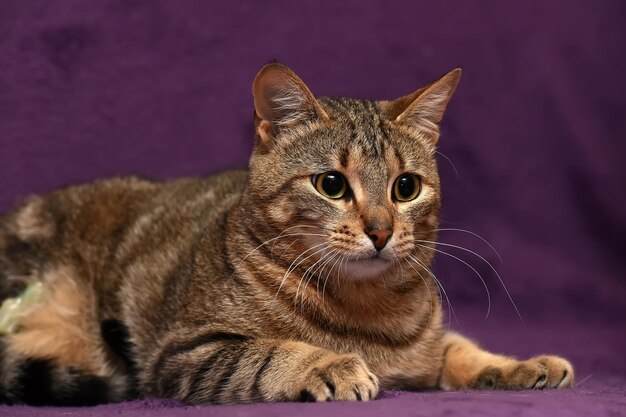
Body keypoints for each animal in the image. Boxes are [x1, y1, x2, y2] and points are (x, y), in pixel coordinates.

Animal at [0, 61, 572, 404]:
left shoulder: (428, 348)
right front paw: (332, 365)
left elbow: (459, 348)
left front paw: (520, 364)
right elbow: (270, 351)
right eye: (331, 185)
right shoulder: (185, 351)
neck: (369, 310)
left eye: (406, 187)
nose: (381, 231)